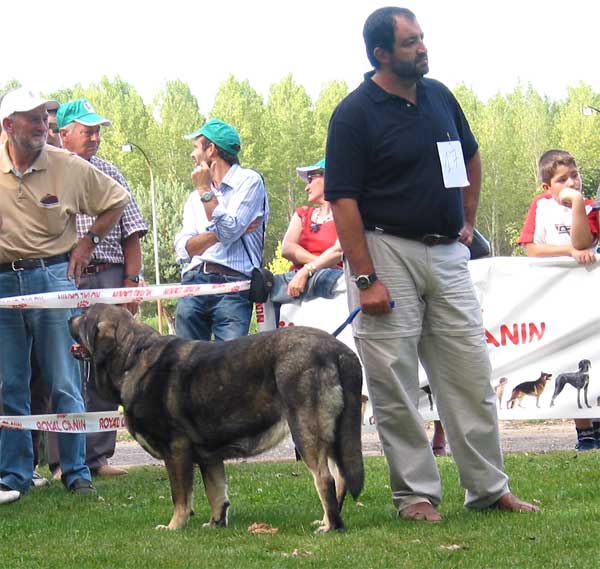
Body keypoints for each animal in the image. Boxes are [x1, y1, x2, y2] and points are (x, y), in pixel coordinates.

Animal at [68, 304, 364, 532]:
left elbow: (180, 496)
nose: (69, 318)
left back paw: (331, 526)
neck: (132, 358)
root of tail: (340, 352)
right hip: (334, 434)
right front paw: (215, 523)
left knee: (324, 478)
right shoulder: (208, 456)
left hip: (306, 430)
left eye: (84, 315)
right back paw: (329, 519)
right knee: (340, 477)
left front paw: (174, 526)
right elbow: (216, 491)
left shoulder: (176, 450)